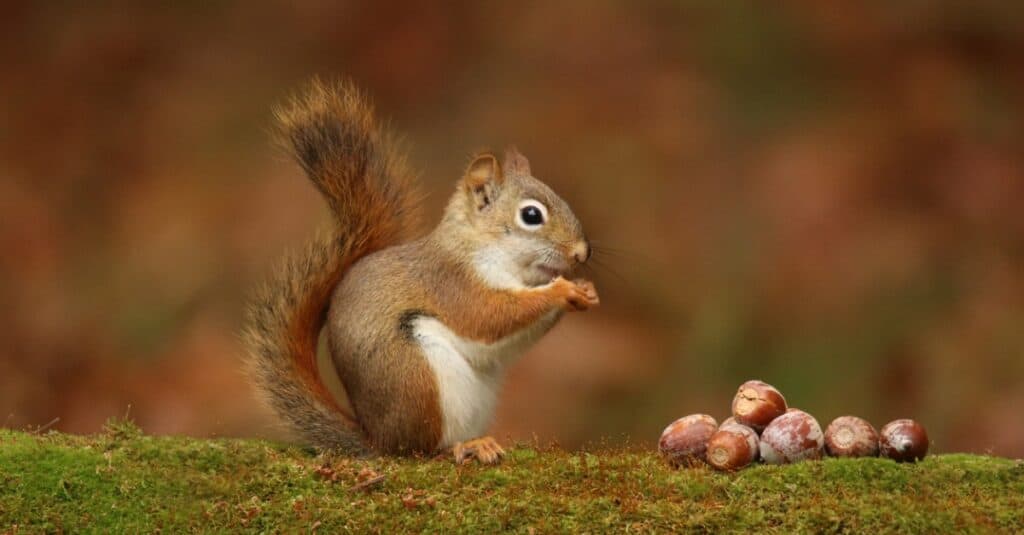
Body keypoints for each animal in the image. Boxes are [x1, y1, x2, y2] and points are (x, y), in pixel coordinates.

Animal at [241, 77, 598, 461]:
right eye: (531, 215)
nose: (582, 253)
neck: (489, 251)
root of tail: (378, 440)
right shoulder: (452, 282)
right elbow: (489, 316)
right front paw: (562, 290)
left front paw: (586, 290)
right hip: (417, 376)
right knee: (421, 449)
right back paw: (465, 447)